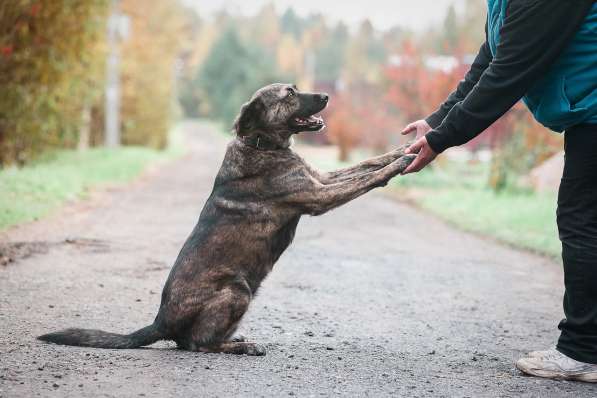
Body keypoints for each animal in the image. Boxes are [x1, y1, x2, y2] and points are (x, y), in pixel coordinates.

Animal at [38, 83, 414, 354]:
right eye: (290, 94)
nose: (325, 95)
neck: (260, 143)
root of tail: (161, 322)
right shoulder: (318, 195)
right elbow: (364, 179)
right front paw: (401, 163)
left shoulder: (320, 178)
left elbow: (366, 164)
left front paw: (404, 150)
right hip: (237, 290)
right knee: (197, 344)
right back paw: (244, 347)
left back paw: (236, 340)